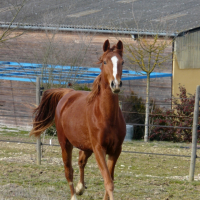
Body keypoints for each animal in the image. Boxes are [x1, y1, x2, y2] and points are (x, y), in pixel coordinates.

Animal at [30, 39, 125, 200]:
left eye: (122, 62)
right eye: (105, 62)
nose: (116, 84)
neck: (106, 116)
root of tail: (68, 93)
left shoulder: (115, 150)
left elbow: (110, 180)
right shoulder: (99, 149)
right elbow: (108, 182)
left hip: (86, 146)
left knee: (81, 161)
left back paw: (80, 188)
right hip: (65, 144)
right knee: (69, 171)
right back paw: (74, 194)